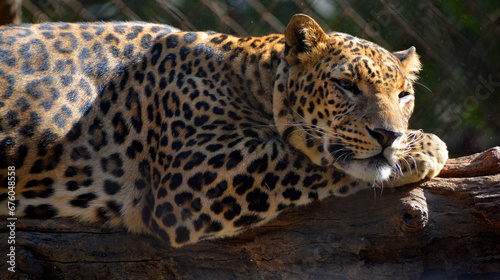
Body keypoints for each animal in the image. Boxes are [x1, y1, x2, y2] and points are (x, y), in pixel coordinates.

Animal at [0, 14, 446, 247]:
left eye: (404, 94)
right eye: (347, 85)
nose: (389, 136)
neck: (253, 78)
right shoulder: (193, 178)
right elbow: (302, 157)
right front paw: (425, 146)